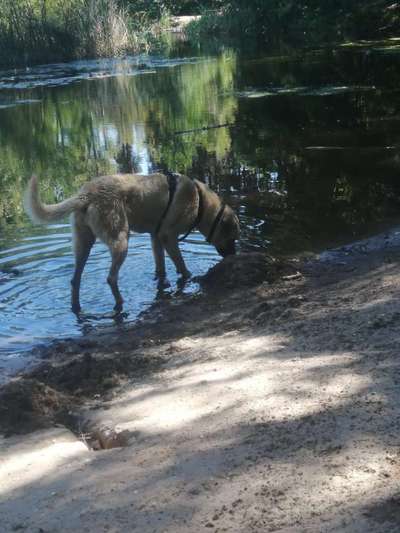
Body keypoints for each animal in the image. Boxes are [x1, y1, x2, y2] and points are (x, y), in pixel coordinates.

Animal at [25, 172, 241, 312]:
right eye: (232, 238)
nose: (233, 256)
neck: (201, 202)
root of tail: (85, 194)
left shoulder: (156, 238)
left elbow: (161, 267)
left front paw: (162, 282)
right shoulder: (168, 237)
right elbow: (182, 267)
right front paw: (191, 277)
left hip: (83, 244)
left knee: (75, 279)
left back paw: (76, 308)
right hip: (121, 241)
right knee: (111, 278)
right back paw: (120, 303)